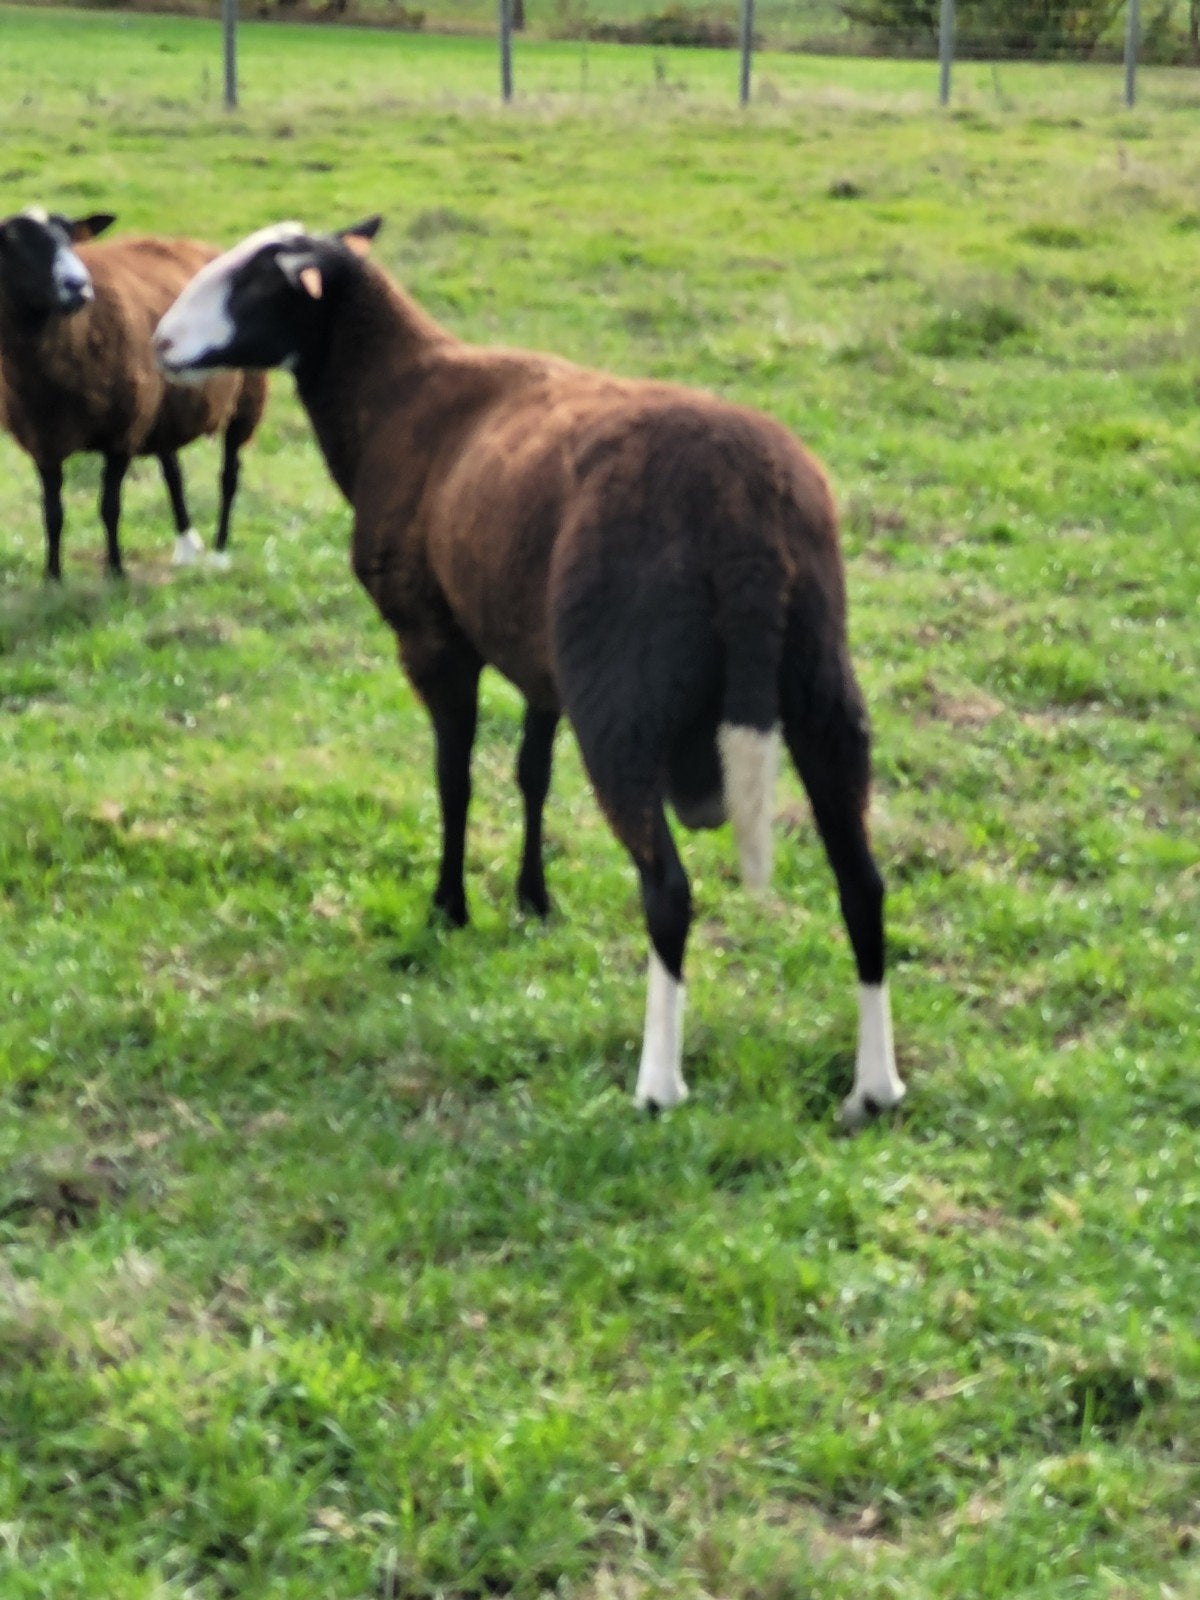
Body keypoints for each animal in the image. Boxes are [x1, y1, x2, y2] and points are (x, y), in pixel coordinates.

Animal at [0, 208, 267, 580]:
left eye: (71, 238)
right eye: (13, 242)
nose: (78, 286)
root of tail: (205, 247)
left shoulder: (122, 433)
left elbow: (109, 507)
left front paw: (115, 570)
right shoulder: (42, 440)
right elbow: (52, 513)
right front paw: (52, 576)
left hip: (245, 403)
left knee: (229, 476)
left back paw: (219, 551)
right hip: (164, 411)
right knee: (174, 474)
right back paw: (187, 545)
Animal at [154, 217, 907, 1125]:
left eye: (259, 281)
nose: (158, 343)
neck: (392, 395)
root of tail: (745, 519)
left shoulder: (433, 637)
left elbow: (453, 778)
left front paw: (449, 908)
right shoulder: (538, 658)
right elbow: (530, 775)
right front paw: (533, 902)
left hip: (622, 698)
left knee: (669, 891)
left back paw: (658, 1085)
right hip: (819, 679)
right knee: (863, 883)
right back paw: (875, 1087)